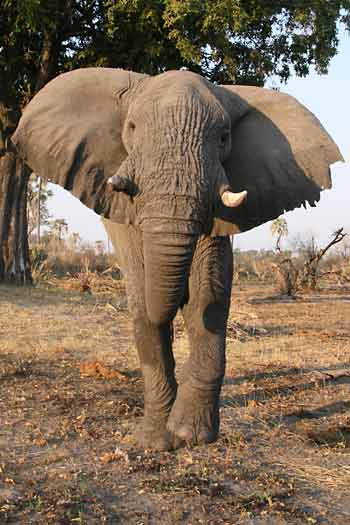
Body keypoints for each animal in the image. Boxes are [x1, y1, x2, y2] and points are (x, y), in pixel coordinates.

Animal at [11, 67, 344, 448]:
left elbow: (207, 296)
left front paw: (191, 436)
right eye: (132, 128)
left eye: (224, 138)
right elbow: (142, 294)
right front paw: (157, 441)